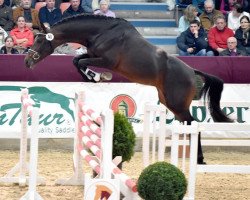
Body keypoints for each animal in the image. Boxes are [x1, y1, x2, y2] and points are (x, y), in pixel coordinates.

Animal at [23, 14, 232, 164]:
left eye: (40, 41)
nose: (27, 62)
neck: (101, 32)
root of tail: (191, 70)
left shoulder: (106, 61)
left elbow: (80, 62)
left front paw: (98, 77)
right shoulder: (92, 55)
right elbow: (76, 60)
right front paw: (93, 78)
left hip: (177, 105)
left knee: (194, 125)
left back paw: (200, 159)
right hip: (171, 104)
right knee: (189, 125)